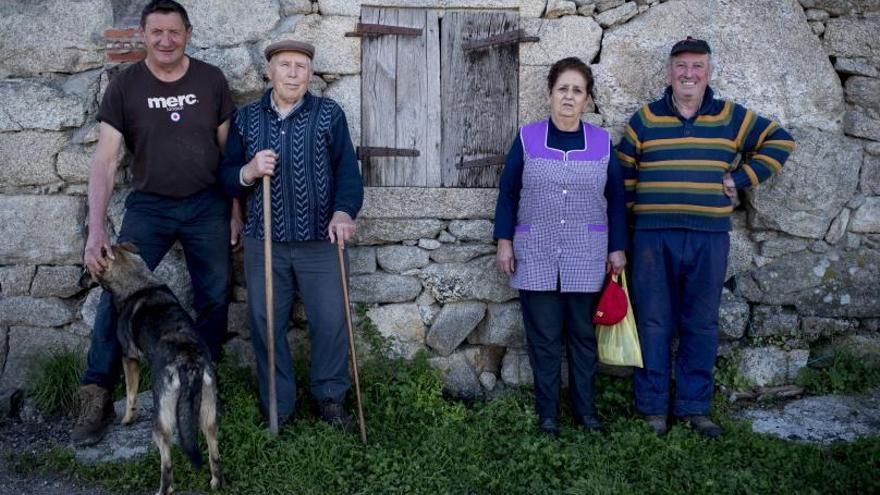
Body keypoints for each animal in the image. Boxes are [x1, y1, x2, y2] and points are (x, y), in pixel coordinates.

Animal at [83, 244, 223, 495]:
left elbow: (131, 394)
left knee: (166, 465)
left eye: (85, 268)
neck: (138, 283)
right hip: (208, 414)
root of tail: (189, 363)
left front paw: (127, 419)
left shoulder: (129, 357)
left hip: (162, 422)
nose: (80, 282)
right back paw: (215, 483)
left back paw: (162, 489)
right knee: (214, 453)